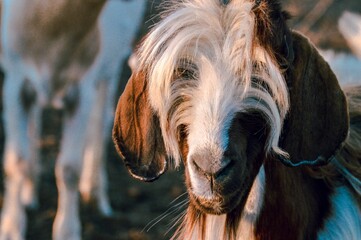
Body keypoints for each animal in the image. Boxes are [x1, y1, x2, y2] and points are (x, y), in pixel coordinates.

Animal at [1, 0, 145, 240]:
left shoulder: (83, 88)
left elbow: (69, 168)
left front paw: (67, 232)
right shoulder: (15, 81)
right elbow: (16, 161)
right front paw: (11, 228)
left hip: (112, 64)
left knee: (102, 121)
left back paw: (96, 194)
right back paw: (30, 191)